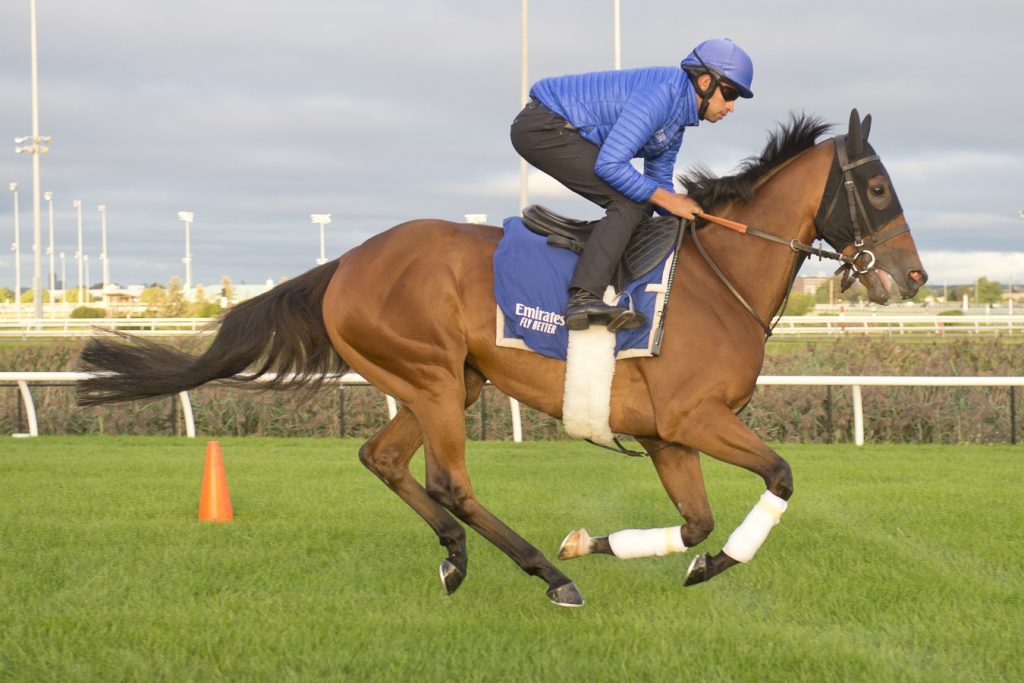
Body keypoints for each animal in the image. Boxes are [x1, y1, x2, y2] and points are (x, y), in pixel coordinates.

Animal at [77, 109, 929, 606]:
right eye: (879, 189)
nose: (914, 278)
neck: (720, 278)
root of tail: (345, 262)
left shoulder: (666, 434)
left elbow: (694, 523)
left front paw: (609, 543)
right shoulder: (695, 417)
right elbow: (779, 476)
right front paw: (682, 562)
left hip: (445, 381)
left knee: (384, 459)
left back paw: (460, 558)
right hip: (429, 374)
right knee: (450, 481)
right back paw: (549, 575)